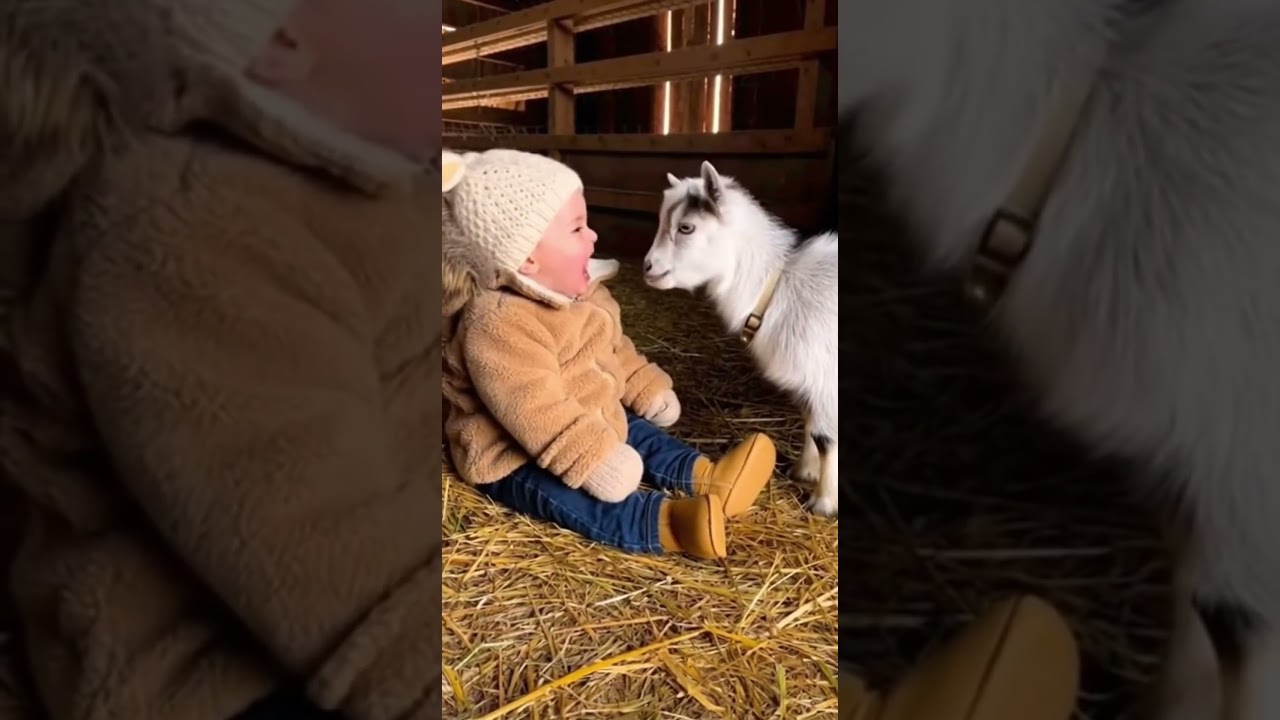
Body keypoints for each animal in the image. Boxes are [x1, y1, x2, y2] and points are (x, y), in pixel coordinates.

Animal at [642, 161, 839, 516]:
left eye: (686, 227)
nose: (648, 267)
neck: (775, 288)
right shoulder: (809, 383)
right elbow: (808, 422)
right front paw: (804, 471)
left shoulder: (826, 379)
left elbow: (824, 436)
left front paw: (824, 502)